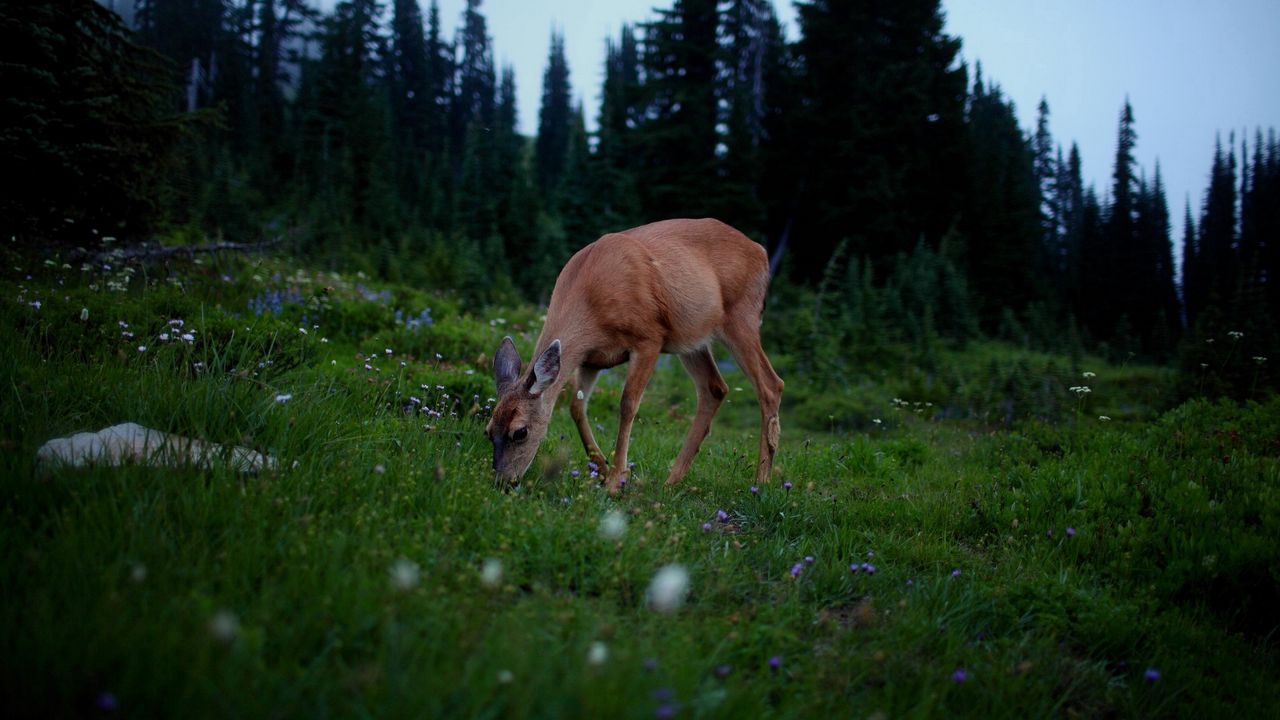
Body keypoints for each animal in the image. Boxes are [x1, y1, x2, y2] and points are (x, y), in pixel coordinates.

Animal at [483, 217, 778, 491]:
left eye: (520, 432)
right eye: (488, 431)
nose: (502, 482)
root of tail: (761, 251)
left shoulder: (649, 337)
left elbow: (627, 405)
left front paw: (616, 479)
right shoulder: (590, 358)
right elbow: (577, 407)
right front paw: (601, 466)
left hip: (741, 315)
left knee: (770, 385)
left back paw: (761, 480)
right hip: (691, 339)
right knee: (714, 387)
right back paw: (672, 480)